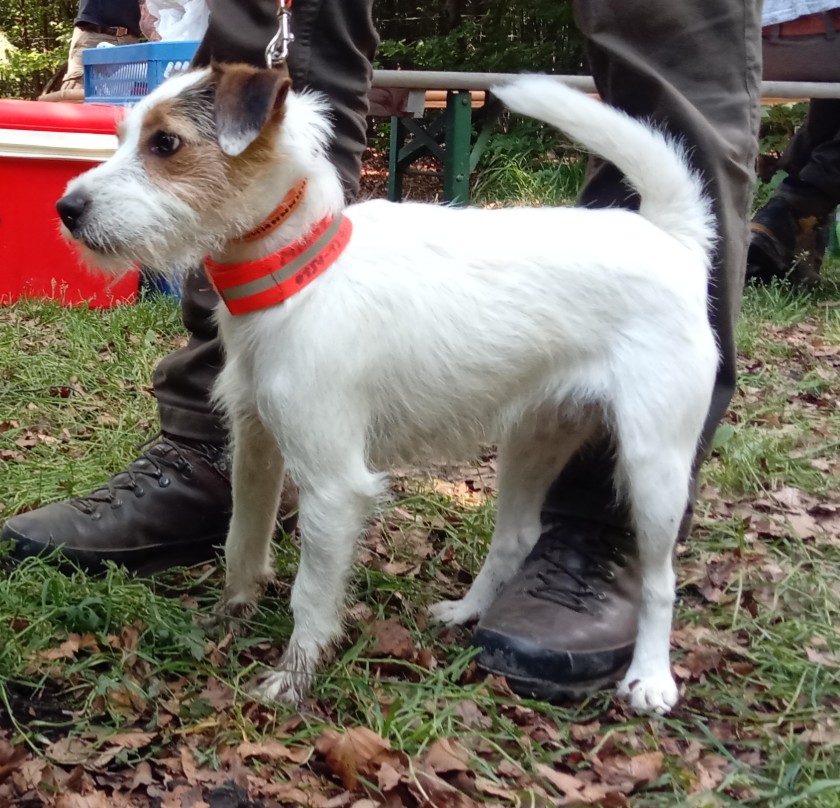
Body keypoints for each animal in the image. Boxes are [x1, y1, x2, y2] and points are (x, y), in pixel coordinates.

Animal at [57, 66, 716, 716]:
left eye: (165, 143)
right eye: (122, 137)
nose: (66, 208)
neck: (296, 273)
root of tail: (669, 237)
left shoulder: (333, 486)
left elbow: (311, 593)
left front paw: (294, 677)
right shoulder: (256, 444)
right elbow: (243, 539)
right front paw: (230, 615)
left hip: (655, 465)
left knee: (660, 579)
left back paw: (651, 677)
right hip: (534, 437)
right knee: (516, 538)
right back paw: (467, 611)